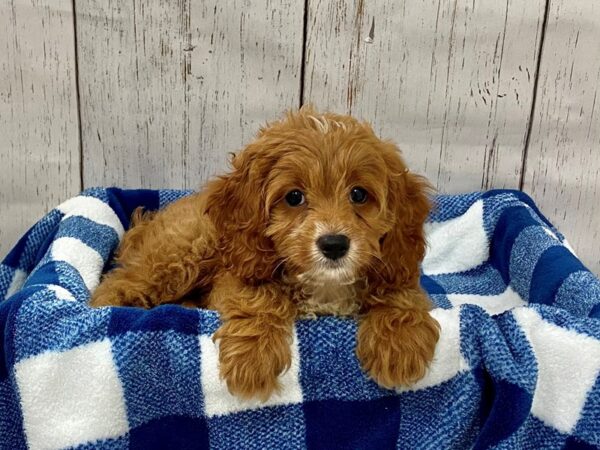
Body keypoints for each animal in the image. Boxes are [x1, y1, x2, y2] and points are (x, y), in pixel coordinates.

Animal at [92, 107, 440, 400]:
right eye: (294, 197)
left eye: (358, 194)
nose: (334, 244)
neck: (324, 286)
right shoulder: (238, 274)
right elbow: (259, 298)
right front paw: (253, 360)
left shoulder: (394, 267)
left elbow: (402, 295)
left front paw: (399, 346)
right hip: (183, 251)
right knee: (118, 284)